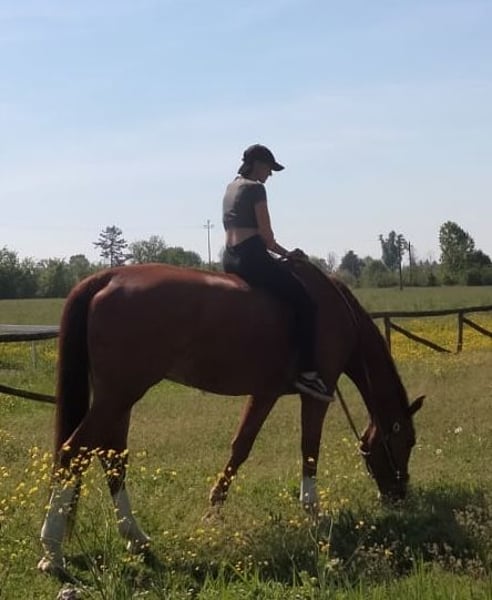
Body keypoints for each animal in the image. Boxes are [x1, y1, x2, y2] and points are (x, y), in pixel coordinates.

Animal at [38, 259, 423, 576]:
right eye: (407, 441)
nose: (399, 494)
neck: (336, 309)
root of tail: (108, 276)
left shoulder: (265, 393)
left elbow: (241, 447)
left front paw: (214, 510)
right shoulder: (319, 392)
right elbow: (309, 448)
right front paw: (314, 511)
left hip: (118, 399)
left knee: (112, 458)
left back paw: (135, 537)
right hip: (119, 396)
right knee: (73, 452)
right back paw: (53, 552)